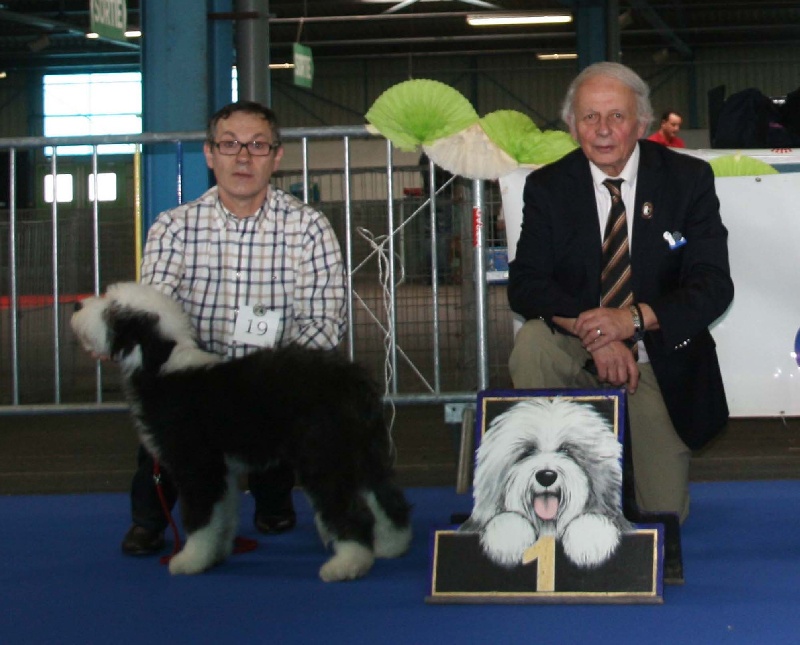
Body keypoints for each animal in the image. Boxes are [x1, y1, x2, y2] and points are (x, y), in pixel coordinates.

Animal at [70, 282, 412, 581]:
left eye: (112, 310)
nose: (76, 306)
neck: (160, 366)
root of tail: (354, 380)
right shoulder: (223, 470)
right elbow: (222, 515)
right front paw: (216, 553)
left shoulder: (196, 464)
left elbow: (200, 516)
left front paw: (190, 559)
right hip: (362, 448)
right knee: (386, 497)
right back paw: (392, 545)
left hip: (322, 454)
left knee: (349, 510)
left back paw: (347, 564)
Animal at [460, 398, 631, 569]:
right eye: (528, 451)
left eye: (566, 450)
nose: (547, 476)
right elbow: (507, 519)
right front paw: (509, 541)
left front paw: (590, 543)